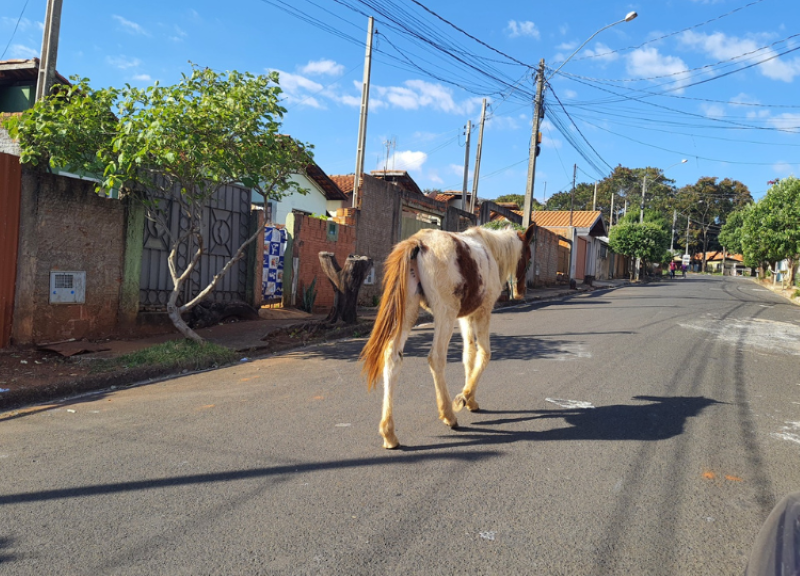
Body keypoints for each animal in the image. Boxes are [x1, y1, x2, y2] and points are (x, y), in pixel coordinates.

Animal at [360, 223, 536, 448]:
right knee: (436, 357)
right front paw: (464, 397)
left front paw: (471, 400)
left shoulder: (466, 317)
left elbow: (469, 355)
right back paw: (448, 415)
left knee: (392, 357)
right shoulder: (483, 311)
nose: (521, 292)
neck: (489, 248)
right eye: (528, 256)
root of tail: (418, 242)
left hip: (408, 312)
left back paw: (389, 433)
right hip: (445, 313)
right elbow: (484, 354)